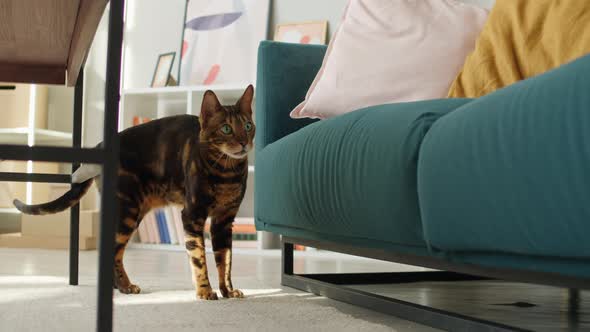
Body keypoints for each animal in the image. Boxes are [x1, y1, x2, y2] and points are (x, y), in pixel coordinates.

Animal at [12, 85, 256, 300]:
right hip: (127, 211)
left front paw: (228, 291)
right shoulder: (192, 215)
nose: (244, 142)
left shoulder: (224, 220)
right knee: (112, 252)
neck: (227, 174)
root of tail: (101, 145)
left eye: (248, 126)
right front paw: (204, 292)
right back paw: (123, 287)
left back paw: (121, 286)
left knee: (116, 253)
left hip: (133, 213)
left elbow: (226, 260)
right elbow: (199, 258)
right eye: (226, 128)